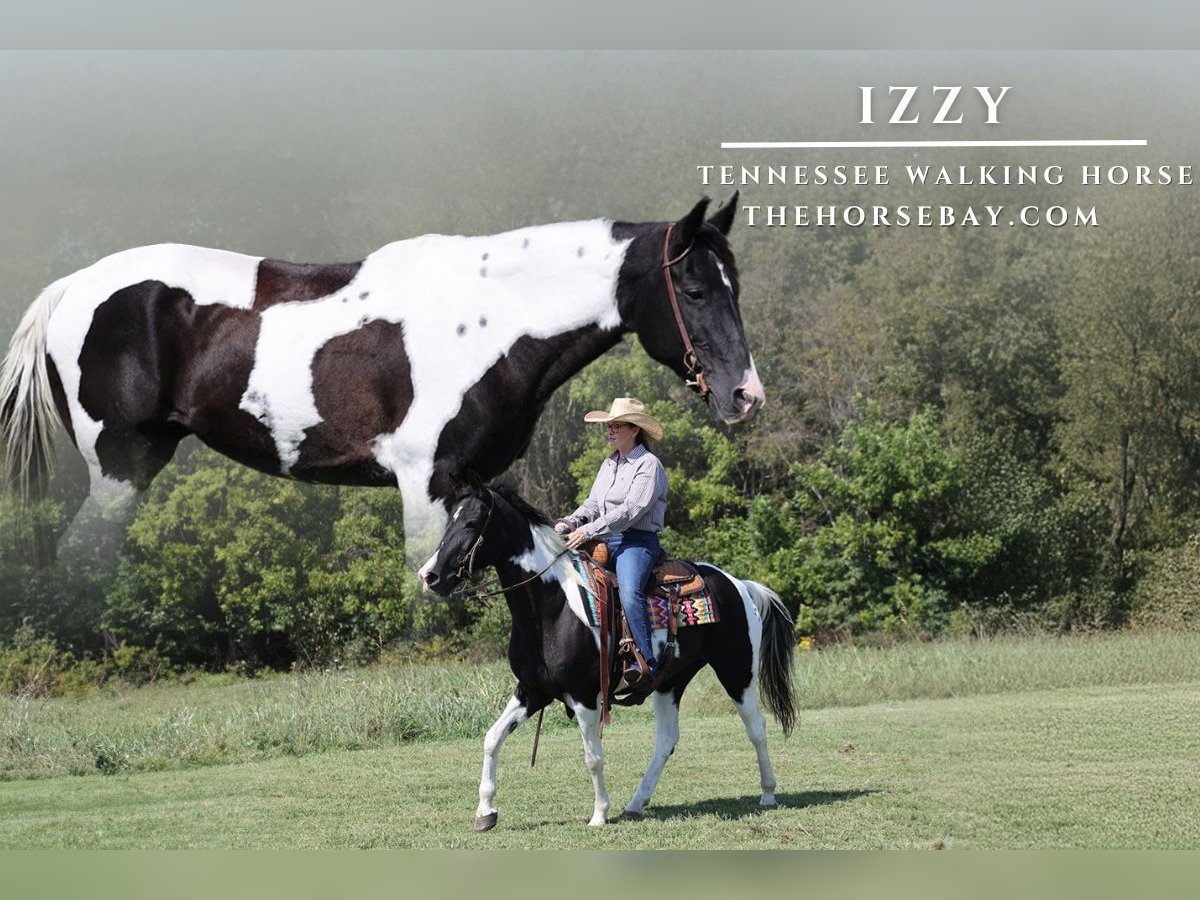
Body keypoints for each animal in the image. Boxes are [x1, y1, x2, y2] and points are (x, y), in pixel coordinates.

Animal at [0, 200, 763, 561]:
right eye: (694, 288)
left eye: (736, 283)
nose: (744, 396)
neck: (487, 316)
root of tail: (71, 287)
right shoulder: (423, 481)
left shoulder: (467, 483)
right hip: (120, 465)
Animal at [422, 487, 796, 830]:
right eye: (450, 521)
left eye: (471, 523)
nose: (429, 576)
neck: (552, 606)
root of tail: (738, 584)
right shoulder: (531, 690)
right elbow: (492, 739)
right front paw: (485, 812)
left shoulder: (584, 696)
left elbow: (593, 758)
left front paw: (599, 814)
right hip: (670, 682)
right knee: (666, 741)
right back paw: (636, 803)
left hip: (737, 671)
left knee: (756, 728)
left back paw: (768, 793)